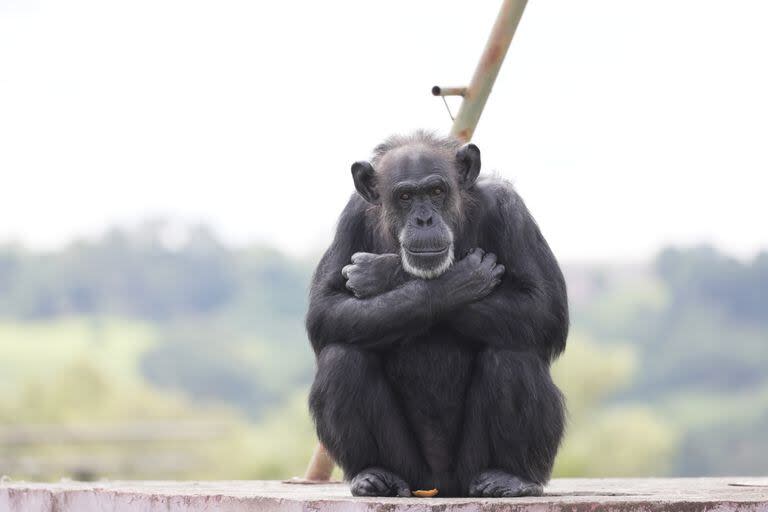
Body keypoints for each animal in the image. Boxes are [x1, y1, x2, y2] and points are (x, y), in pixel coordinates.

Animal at [308, 130, 568, 498]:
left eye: (436, 191)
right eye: (404, 196)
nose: (424, 219)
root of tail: (440, 487)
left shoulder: (510, 210)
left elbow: (543, 306)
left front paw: (381, 273)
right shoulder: (351, 216)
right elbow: (326, 310)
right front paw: (452, 282)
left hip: (469, 468)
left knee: (512, 356)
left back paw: (512, 477)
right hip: (413, 470)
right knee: (342, 359)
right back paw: (375, 474)